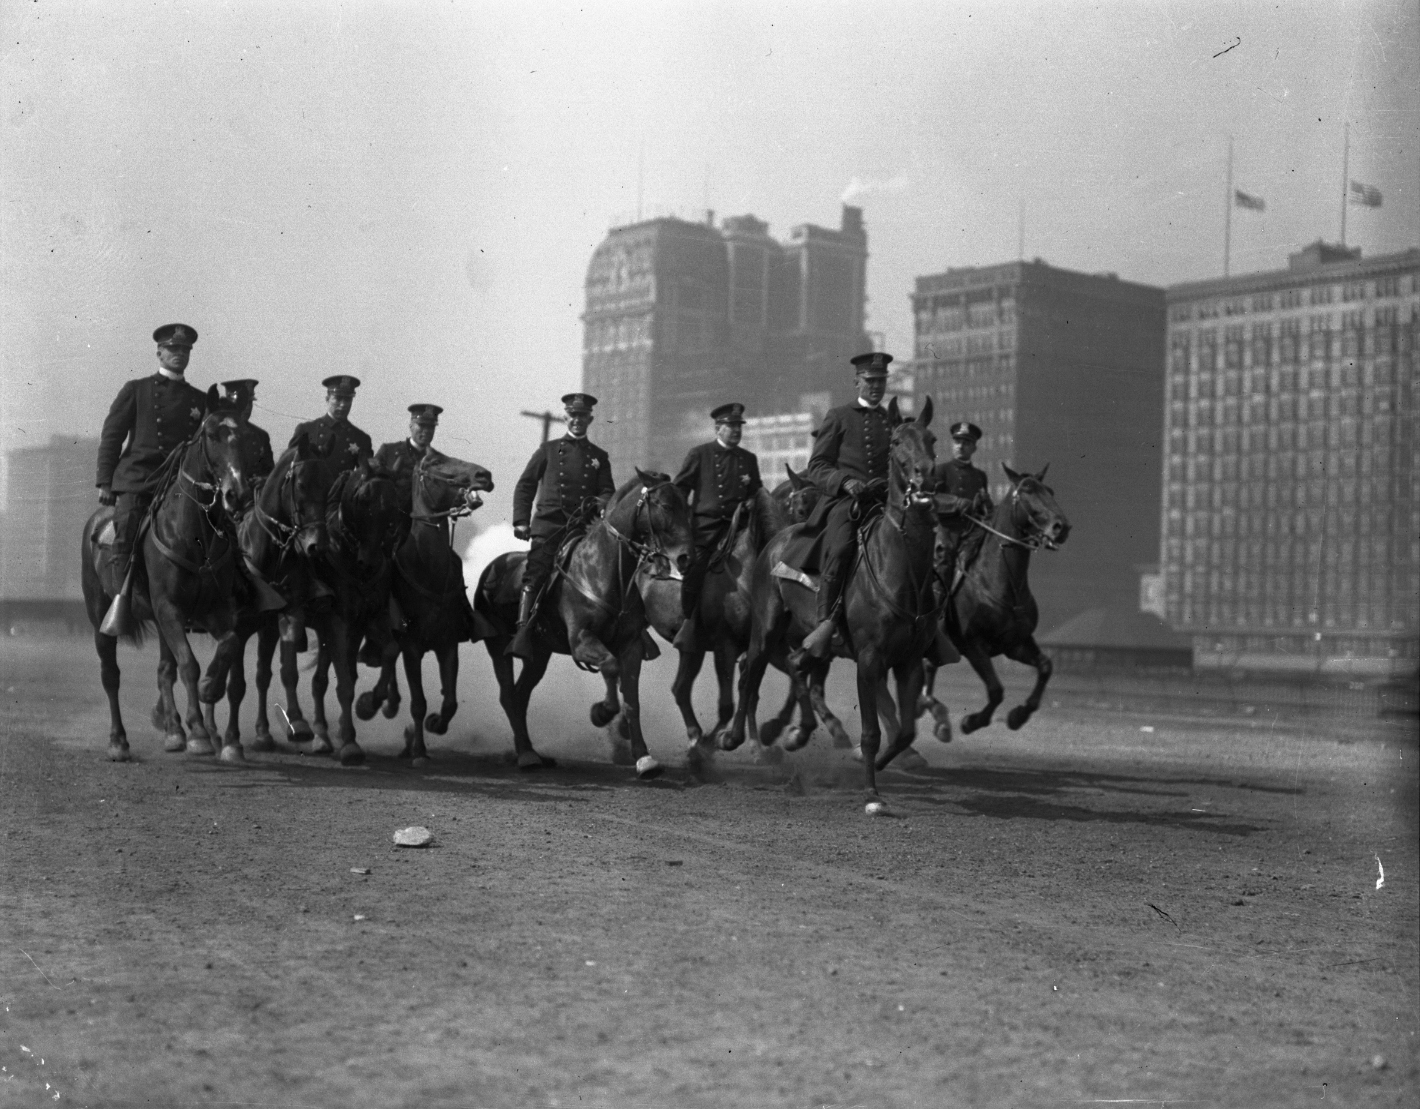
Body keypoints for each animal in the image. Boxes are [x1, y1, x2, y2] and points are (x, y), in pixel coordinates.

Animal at [79, 400, 249, 761]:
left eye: (246, 436)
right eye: (212, 435)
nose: (237, 494)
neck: (194, 536)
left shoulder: (212, 610)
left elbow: (227, 644)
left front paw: (209, 689)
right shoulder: (169, 608)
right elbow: (188, 664)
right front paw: (198, 732)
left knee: (163, 669)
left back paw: (172, 729)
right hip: (102, 617)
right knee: (111, 675)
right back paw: (119, 741)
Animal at [349, 448, 494, 761]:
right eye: (436, 462)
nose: (484, 476)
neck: (428, 567)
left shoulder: (448, 645)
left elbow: (450, 701)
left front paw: (435, 723)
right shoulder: (412, 648)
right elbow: (418, 702)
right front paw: (418, 751)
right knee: (387, 661)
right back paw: (374, 703)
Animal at [477, 477, 692, 778]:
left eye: (688, 507)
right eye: (665, 505)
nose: (685, 557)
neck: (603, 572)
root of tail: (492, 568)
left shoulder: (631, 646)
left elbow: (631, 700)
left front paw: (643, 757)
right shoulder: (581, 641)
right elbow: (610, 668)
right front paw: (601, 713)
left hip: (539, 655)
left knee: (520, 696)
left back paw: (532, 752)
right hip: (498, 647)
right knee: (508, 696)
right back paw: (526, 755)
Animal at [727, 397, 937, 806]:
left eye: (931, 438)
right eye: (897, 442)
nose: (924, 476)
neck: (897, 568)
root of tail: (776, 539)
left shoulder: (909, 662)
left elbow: (904, 730)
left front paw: (878, 763)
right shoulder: (869, 660)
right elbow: (872, 730)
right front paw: (872, 792)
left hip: (808, 641)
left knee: (794, 667)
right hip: (767, 627)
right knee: (750, 673)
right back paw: (739, 739)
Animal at [914, 465, 1067, 732]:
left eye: (1050, 491)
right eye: (1026, 491)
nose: (1061, 527)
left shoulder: (1015, 644)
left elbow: (1046, 666)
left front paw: (1019, 715)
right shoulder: (972, 645)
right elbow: (996, 690)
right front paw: (972, 721)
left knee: (928, 667)